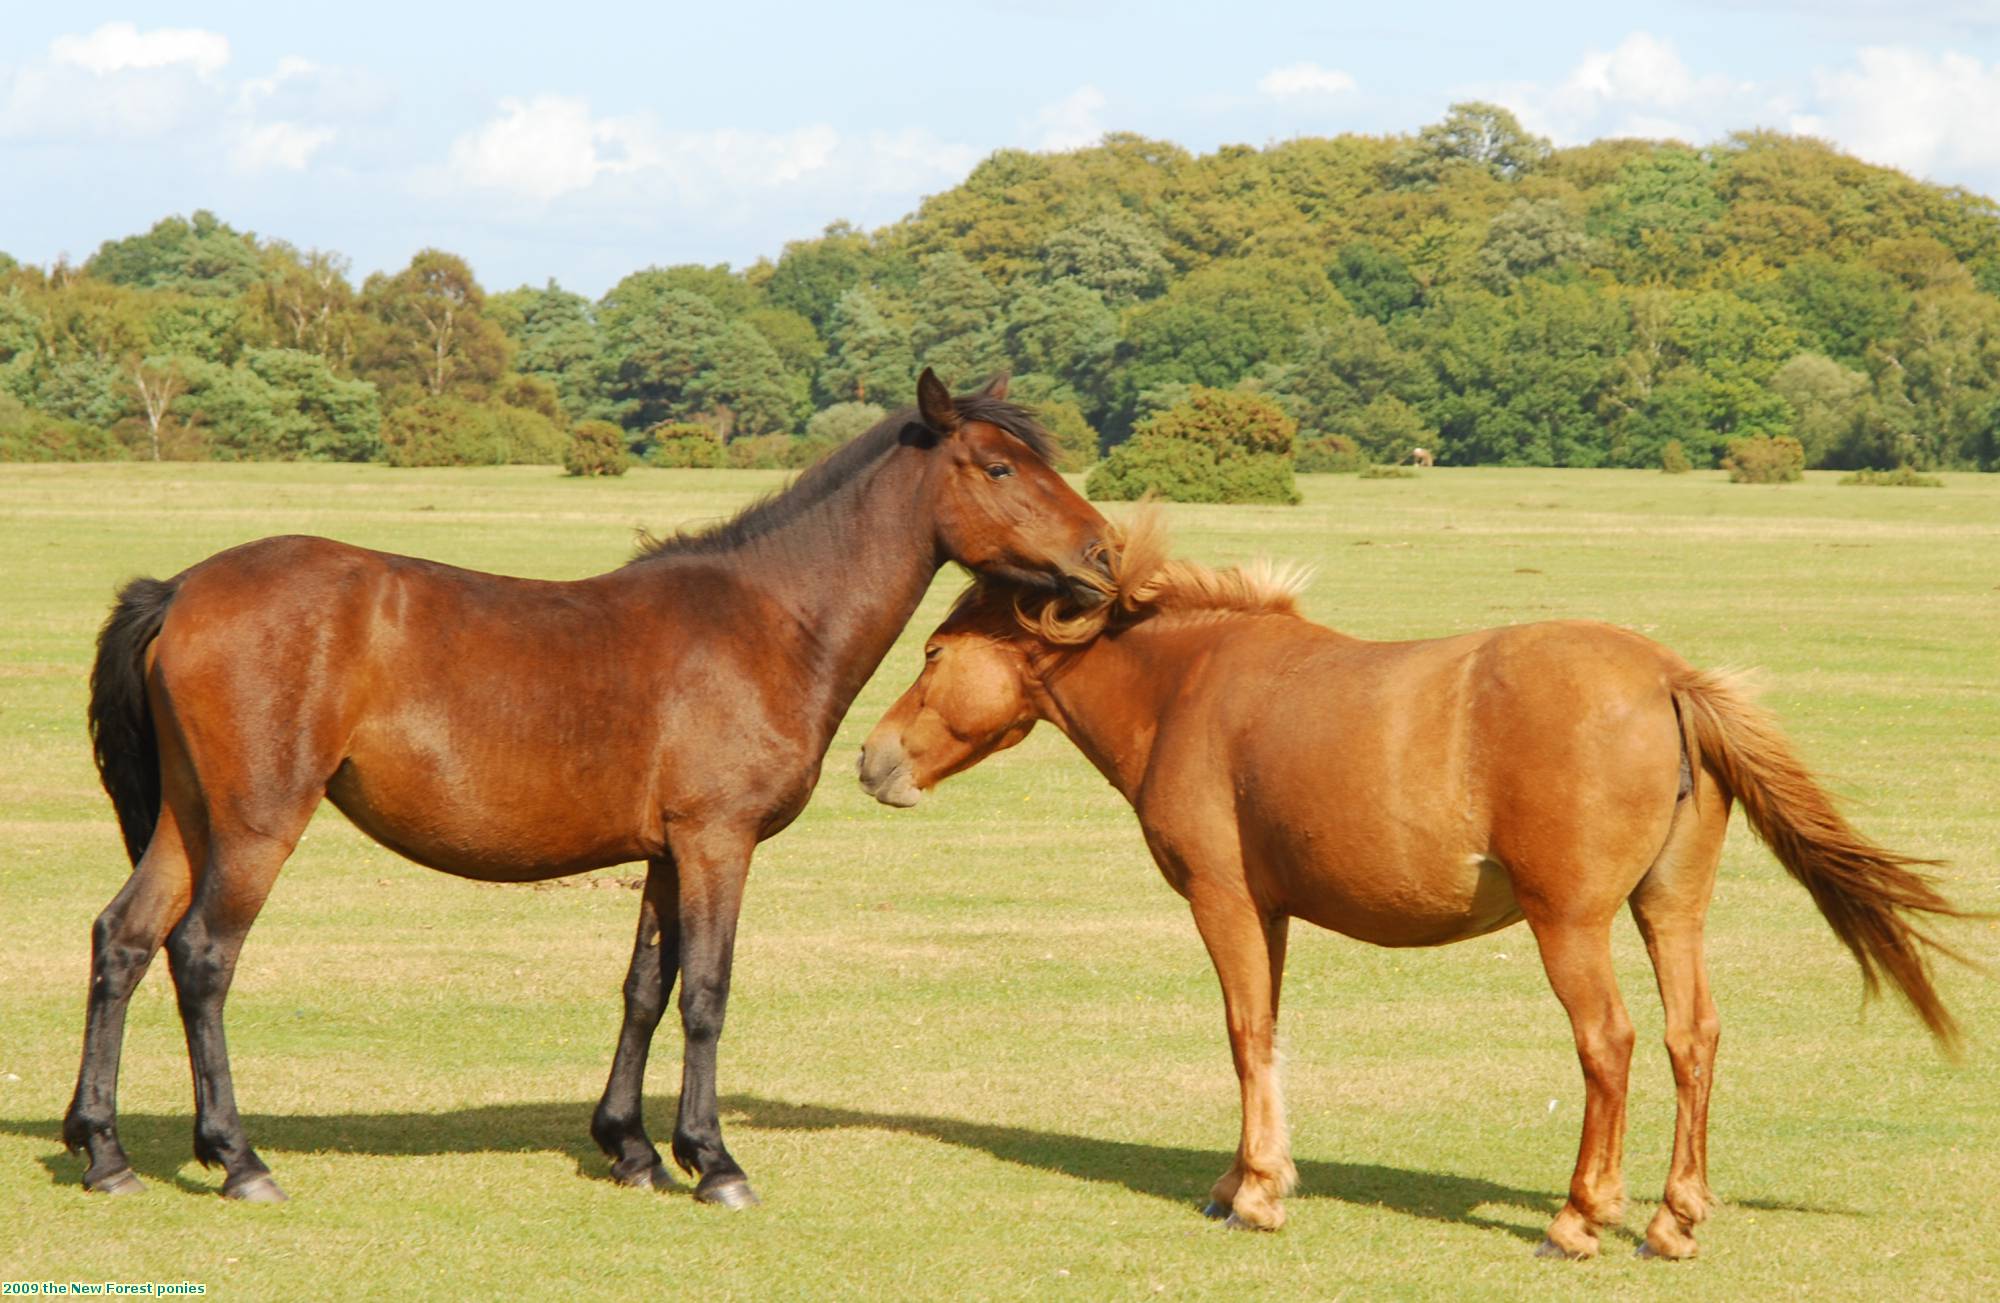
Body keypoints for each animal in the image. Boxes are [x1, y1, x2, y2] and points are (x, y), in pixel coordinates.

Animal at [70, 371, 1120, 1207]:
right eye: (998, 468)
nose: (1106, 555)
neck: (769, 619)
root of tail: (182, 589)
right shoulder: (717, 841)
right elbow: (707, 991)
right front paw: (714, 1161)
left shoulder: (666, 853)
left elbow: (646, 989)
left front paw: (633, 1148)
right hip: (254, 825)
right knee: (203, 957)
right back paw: (239, 1158)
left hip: (191, 820)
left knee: (125, 939)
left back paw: (106, 1151)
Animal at [860, 511, 1968, 1263]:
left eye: (933, 651)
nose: (872, 758)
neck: (1189, 687)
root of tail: (1664, 676)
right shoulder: (1271, 913)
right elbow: (1267, 1031)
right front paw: (1248, 1174)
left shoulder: (1224, 902)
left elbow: (1243, 1033)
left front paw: (1255, 1191)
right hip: (1668, 911)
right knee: (1690, 1037)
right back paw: (1671, 1217)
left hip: (1571, 924)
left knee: (1607, 1043)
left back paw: (1579, 1217)